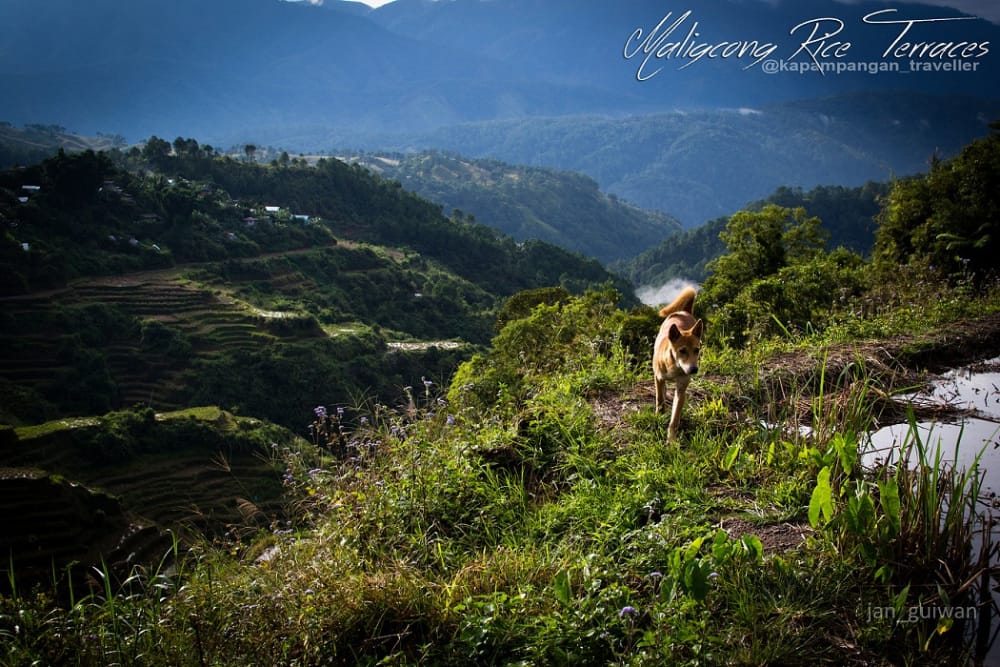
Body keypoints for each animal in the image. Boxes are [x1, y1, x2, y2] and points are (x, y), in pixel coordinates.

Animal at [652, 288, 708, 440]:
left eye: (696, 350)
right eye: (682, 351)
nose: (694, 369)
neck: (674, 366)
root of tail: (684, 311)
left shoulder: (681, 388)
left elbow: (675, 418)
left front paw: (671, 440)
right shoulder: (658, 377)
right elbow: (659, 399)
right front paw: (659, 415)